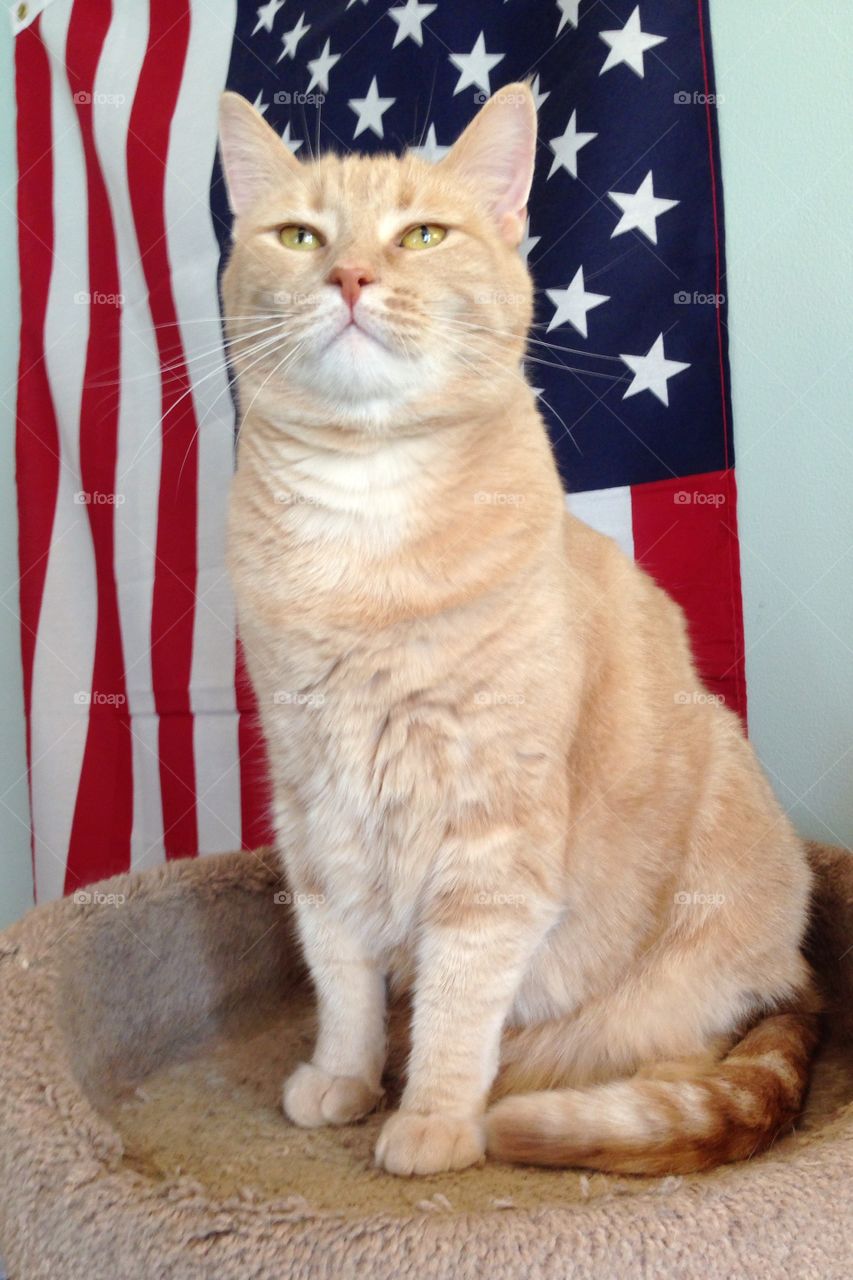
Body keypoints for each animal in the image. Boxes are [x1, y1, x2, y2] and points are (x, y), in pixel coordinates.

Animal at [217, 82, 819, 1177]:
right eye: (299, 236)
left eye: (420, 234)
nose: (351, 276)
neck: (365, 524)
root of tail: (796, 972)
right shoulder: (316, 807)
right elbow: (341, 970)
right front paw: (345, 1076)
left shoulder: (493, 830)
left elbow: (457, 995)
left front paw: (434, 1119)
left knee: (681, 1054)